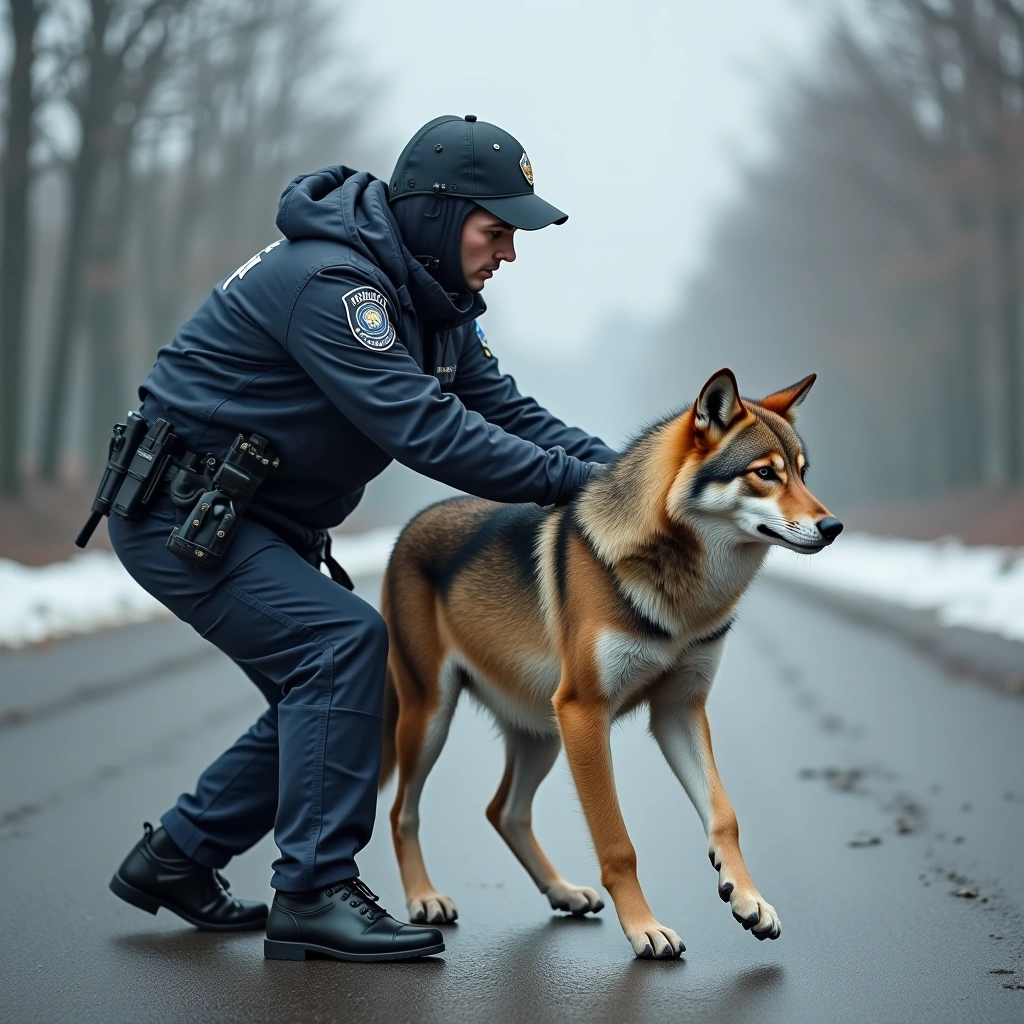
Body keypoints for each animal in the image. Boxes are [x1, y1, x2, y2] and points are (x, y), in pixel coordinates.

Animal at [378, 368, 842, 958]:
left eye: (803, 474)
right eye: (764, 474)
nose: (834, 527)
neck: (685, 593)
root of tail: (409, 527)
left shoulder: (678, 710)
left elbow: (725, 815)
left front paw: (748, 900)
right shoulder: (585, 712)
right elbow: (618, 844)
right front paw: (646, 929)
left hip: (542, 734)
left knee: (504, 810)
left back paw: (563, 892)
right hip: (434, 719)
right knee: (402, 812)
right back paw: (423, 898)